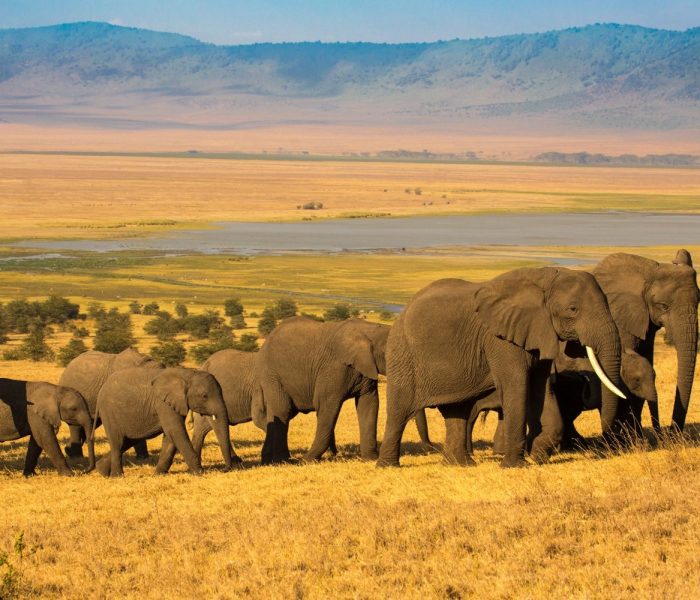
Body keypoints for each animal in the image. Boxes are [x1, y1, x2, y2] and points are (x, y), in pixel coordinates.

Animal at [94, 367, 232, 477]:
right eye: (204, 396)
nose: (225, 470)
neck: (187, 374)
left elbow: (170, 436)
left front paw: (158, 474)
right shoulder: (163, 402)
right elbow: (175, 431)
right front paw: (200, 472)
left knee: (128, 440)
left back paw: (102, 471)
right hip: (108, 412)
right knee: (118, 442)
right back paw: (117, 476)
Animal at [257, 316, 390, 464]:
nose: (336, 454)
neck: (370, 330)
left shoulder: (367, 368)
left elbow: (369, 404)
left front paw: (370, 459)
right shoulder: (333, 368)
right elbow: (326, 406)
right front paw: (307, 460)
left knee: (276, 412)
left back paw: (269, 460)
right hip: (271, 374)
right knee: (283, 410)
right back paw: (283, 461)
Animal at [377, 267, 625, 469]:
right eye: (573, 309)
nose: (606, 445)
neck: (544, 278)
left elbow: (541, 389)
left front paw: (538, 456)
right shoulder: (499, 339)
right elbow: (517, 387)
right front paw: (516, 465)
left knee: (457, 410)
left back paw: (460, 464)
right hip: (402, 353)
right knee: (400, 409)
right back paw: (388, 465)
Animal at [592, 250, 699, 433]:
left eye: (698, 304)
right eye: (663, 306)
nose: (670, 433)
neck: (648, 273)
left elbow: (646, 361)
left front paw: (636, 433)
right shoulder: (621, 319)